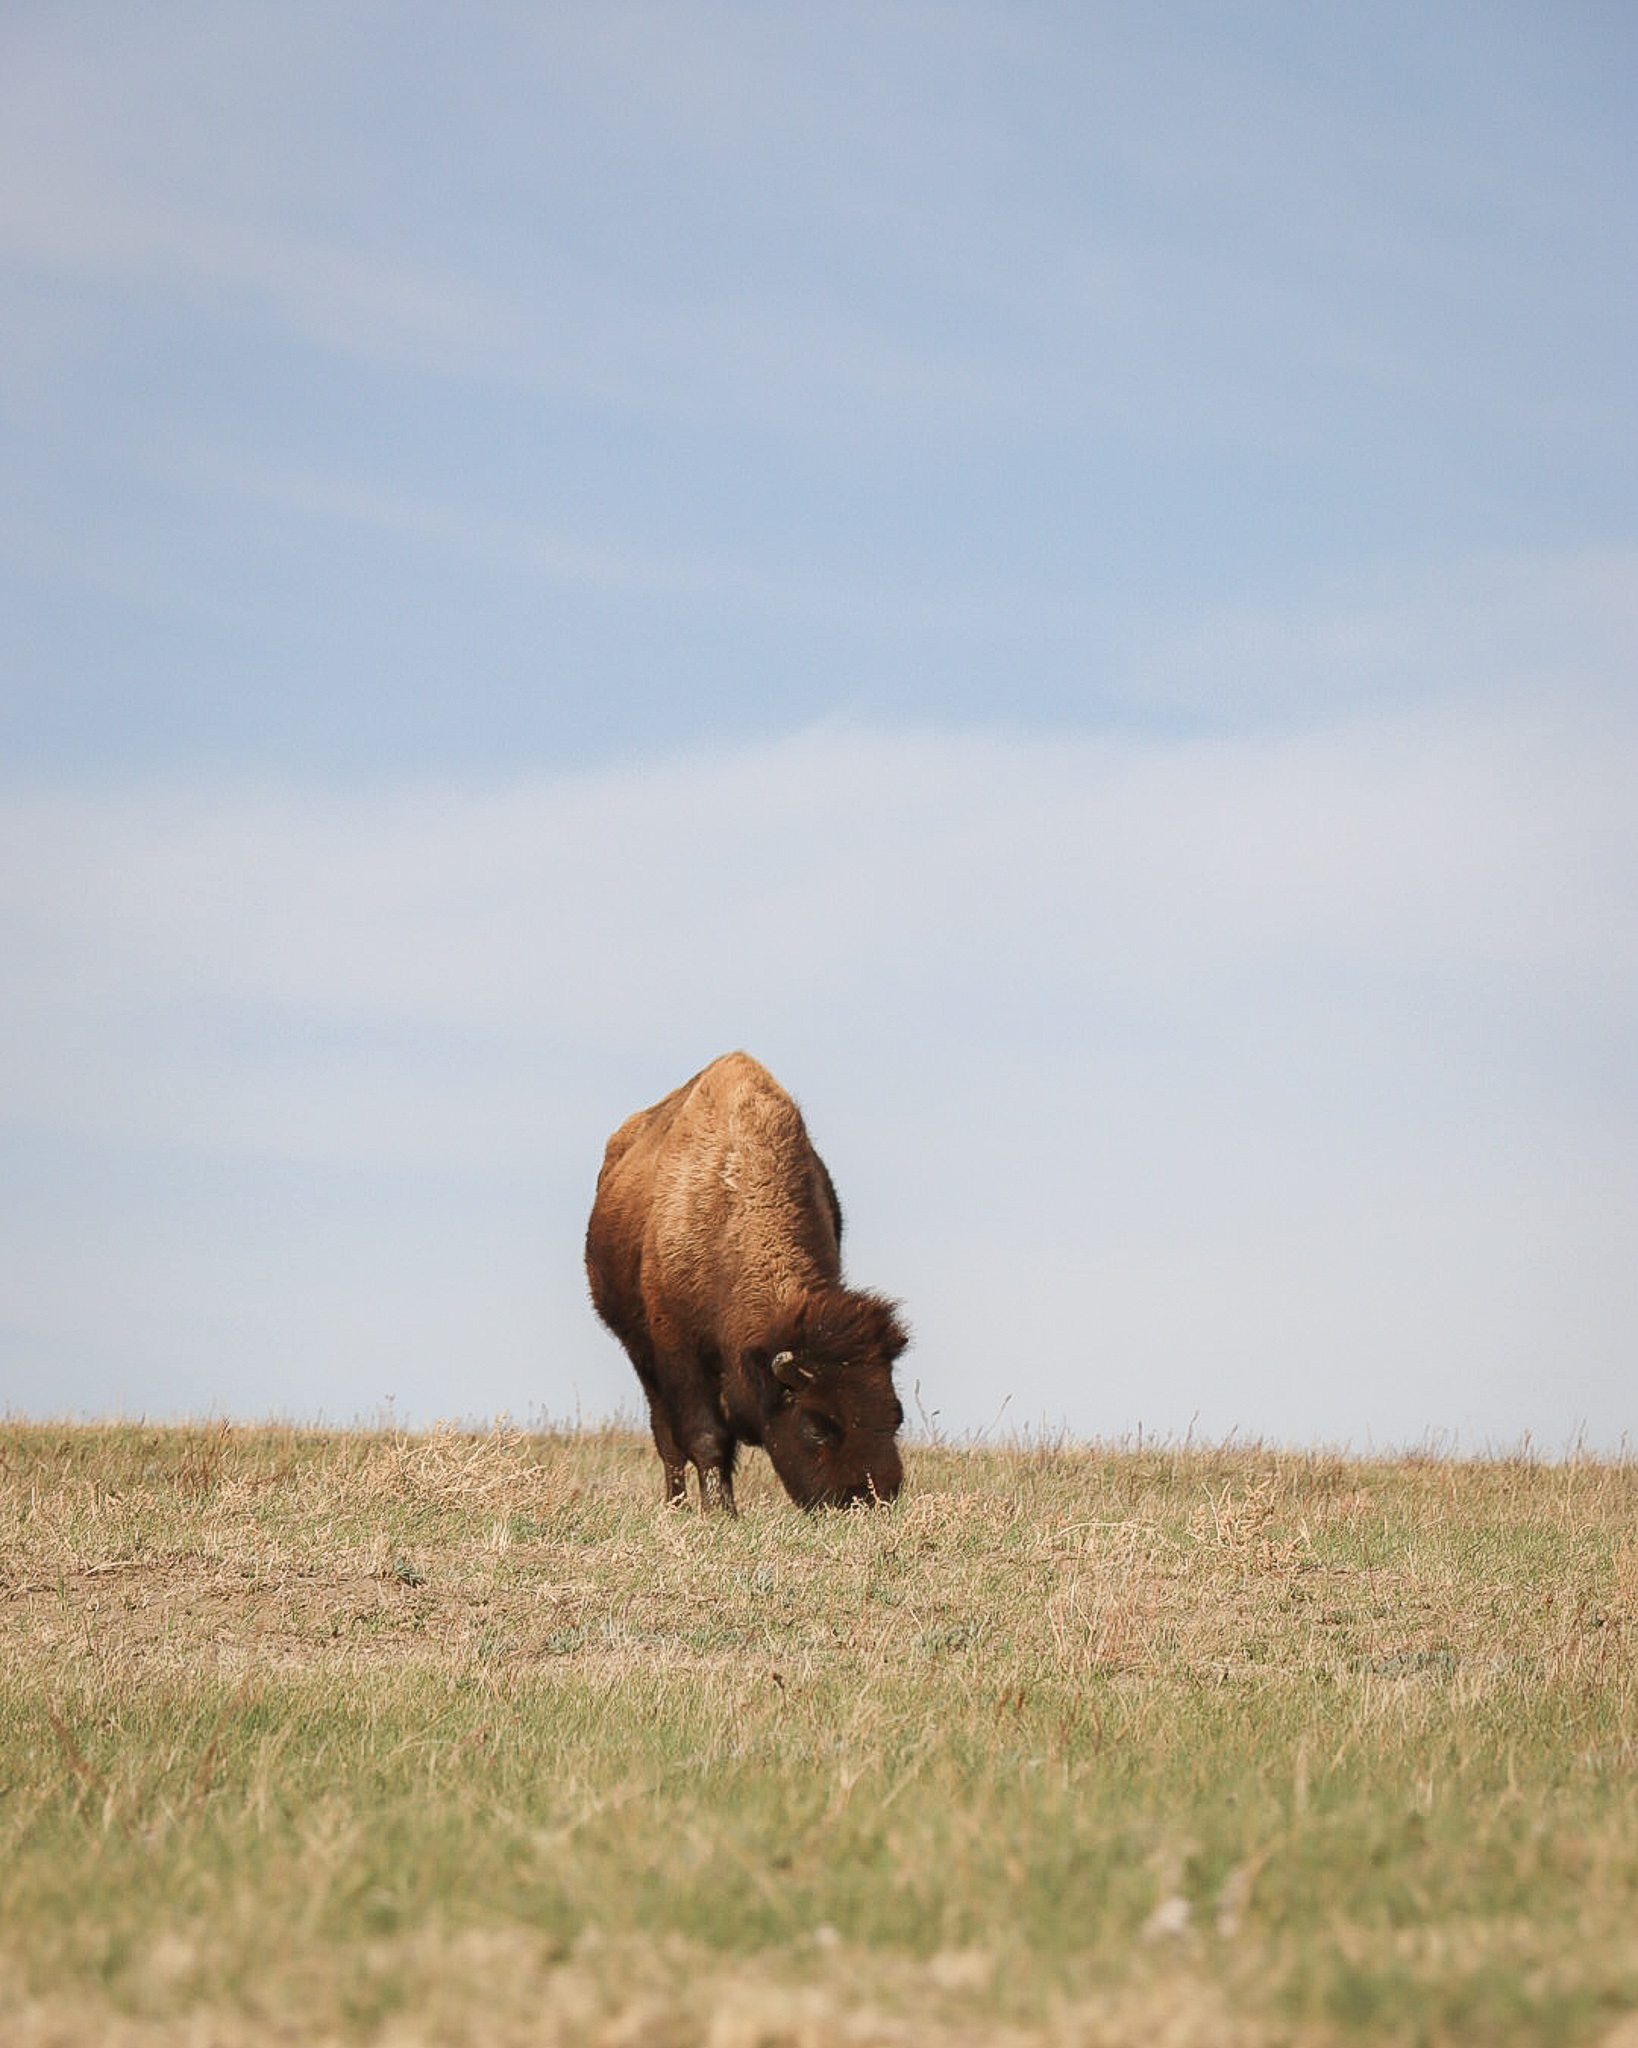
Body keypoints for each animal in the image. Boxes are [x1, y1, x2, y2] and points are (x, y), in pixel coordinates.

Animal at [585, 1052, 908, 1512]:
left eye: (897, 1414)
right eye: (816, 1426)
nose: (871, 1498)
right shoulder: (680, 1353)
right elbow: (705, 1437)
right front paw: (721, 1512)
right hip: (639, 1351)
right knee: (666, 1438)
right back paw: (676, 1505)